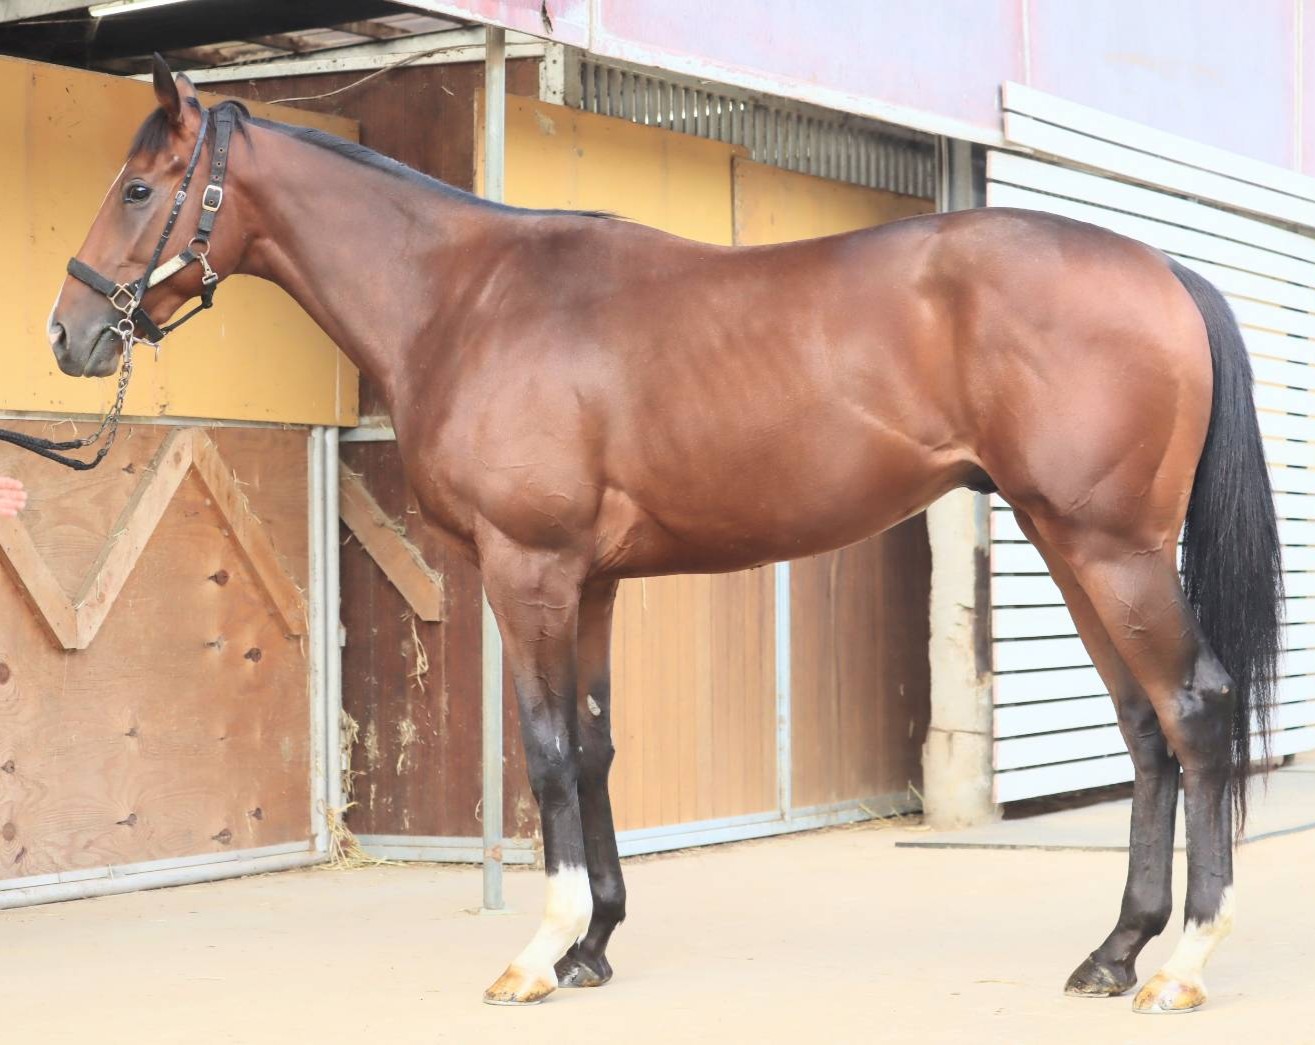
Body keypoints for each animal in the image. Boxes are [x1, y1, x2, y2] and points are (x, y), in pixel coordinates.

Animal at [47, 56, 1282, 1013]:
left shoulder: (528, 571)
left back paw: (1182, 962)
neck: (467, 300)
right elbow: (593, 750)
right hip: (1069, 544)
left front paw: (538, 952)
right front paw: (593, 944)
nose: (69, 334)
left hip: (1110, 548)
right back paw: (1114, 952)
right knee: (1142, 728)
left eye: (140, 185)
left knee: (1194, 709)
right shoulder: (589, 584)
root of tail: (1159, 267)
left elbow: (545, 750)